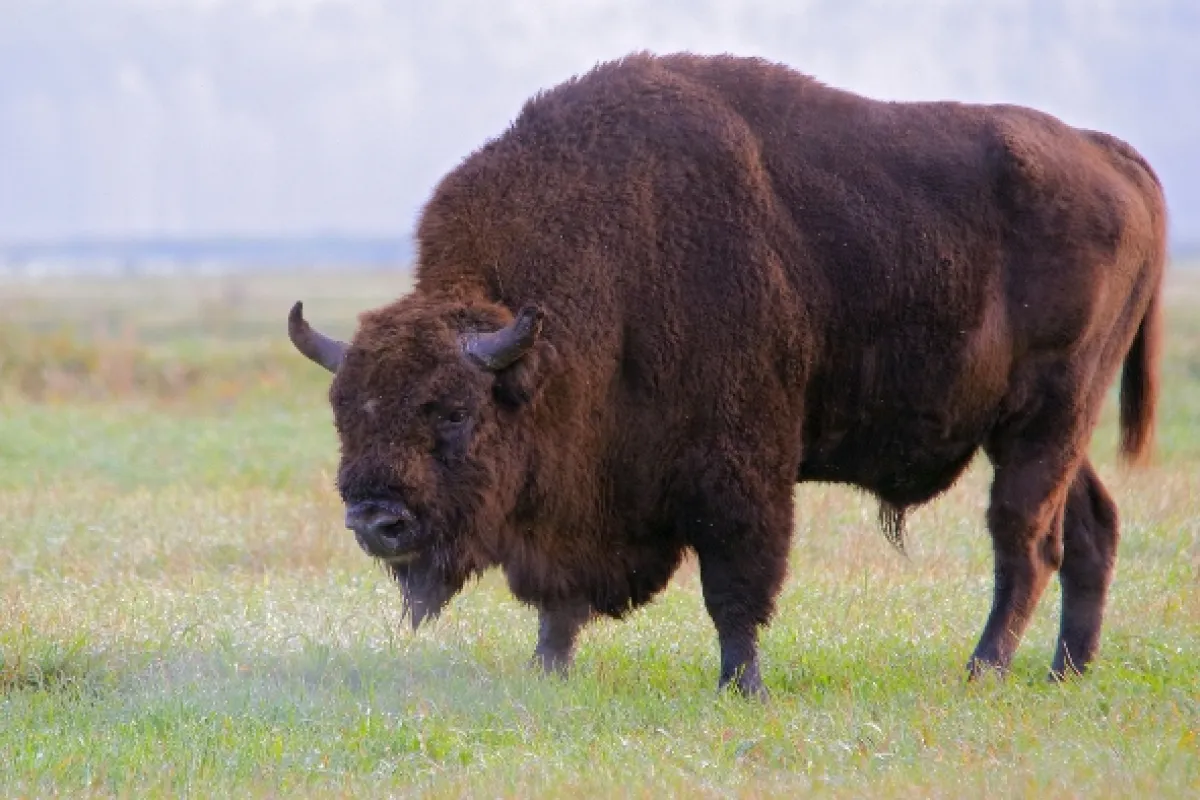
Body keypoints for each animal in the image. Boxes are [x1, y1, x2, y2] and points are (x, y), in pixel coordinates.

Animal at [289, 53, 1165, 696]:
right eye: (346, 410)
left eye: (453, 411)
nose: (375, 519)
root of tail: (1111, 156)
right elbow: (560, 600)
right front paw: (547, 671)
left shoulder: (737, 470)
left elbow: (736, 584)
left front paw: (741, 685)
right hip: (1039, 427)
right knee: (1090, 525)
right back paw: (1065, 673)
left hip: (1046, 416)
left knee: (1026, 538)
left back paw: (983, 672)